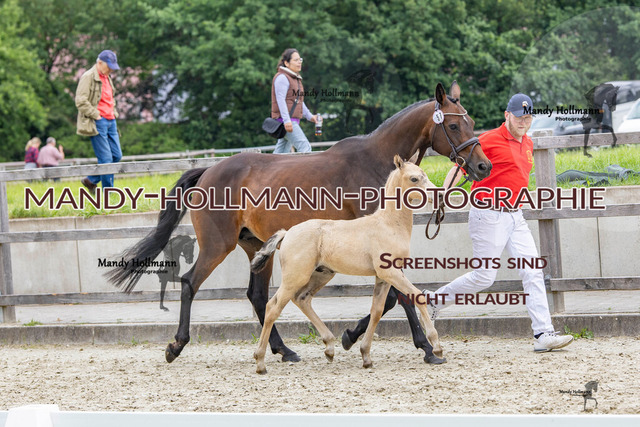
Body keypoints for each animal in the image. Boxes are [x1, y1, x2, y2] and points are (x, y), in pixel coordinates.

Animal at [250, 155, 444, 374]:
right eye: (414, 179)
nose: (438, 196)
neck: (388, 224)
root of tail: (286, 233)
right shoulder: (391, 273)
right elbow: (417, 296)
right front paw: (436, 348)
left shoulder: (383, 278)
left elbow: (376, 311)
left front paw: (365, 355)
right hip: (295, 276)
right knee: (273, 307)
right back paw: (261, 361)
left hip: (322, 274)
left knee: (302, 299)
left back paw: (329, 348)